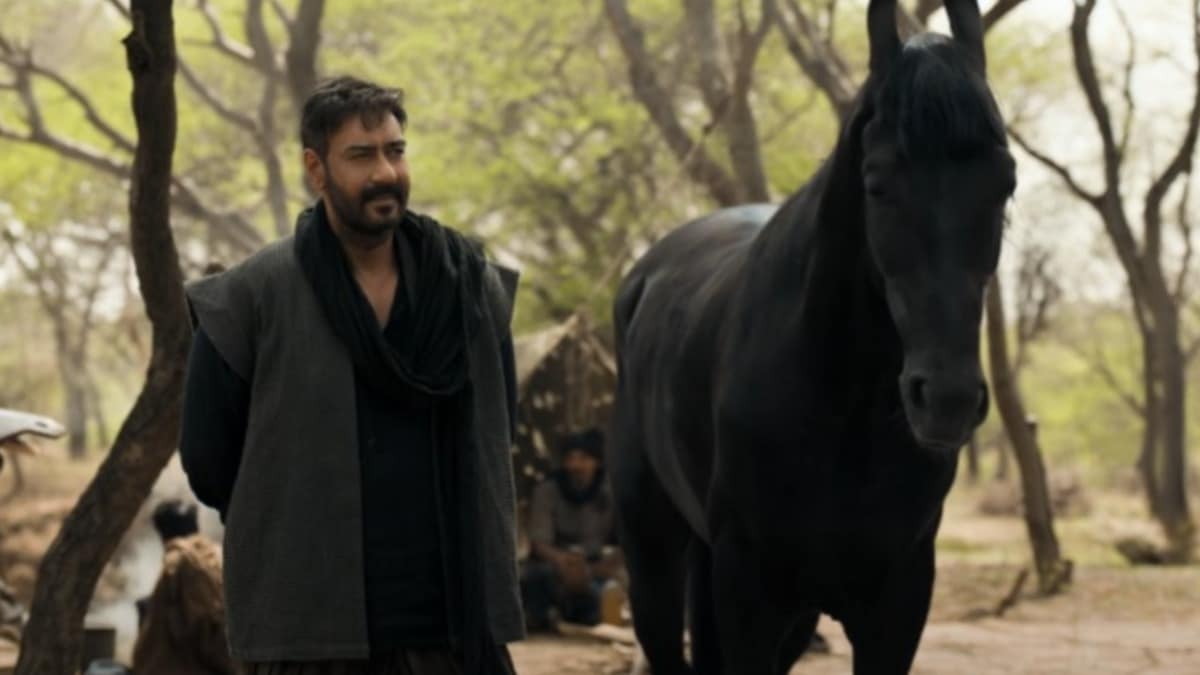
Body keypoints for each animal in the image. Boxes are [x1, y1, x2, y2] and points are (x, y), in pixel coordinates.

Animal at [608, 1, 1015, 673]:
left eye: (1005, 181)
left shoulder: (896, 603)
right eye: (877, 182)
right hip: (655, 555)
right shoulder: (749, 592)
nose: (948, 399)